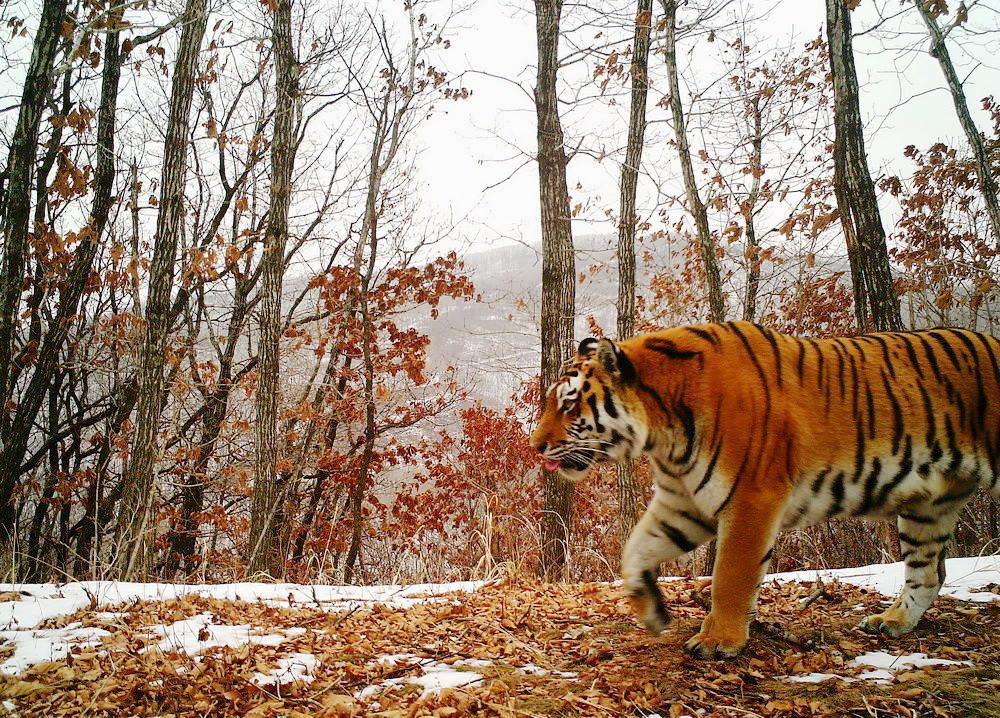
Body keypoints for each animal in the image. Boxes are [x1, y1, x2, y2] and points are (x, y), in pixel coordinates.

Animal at [530, 321, 1000, 658]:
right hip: (929, 506)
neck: (664, 432)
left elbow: (730, 574)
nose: (536, 446)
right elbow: (636, 548)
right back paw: (892, 622)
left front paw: (718, 640)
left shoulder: (751, 498)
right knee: (929, 573)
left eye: (569, 404)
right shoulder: (683, 503)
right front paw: (652, 611)